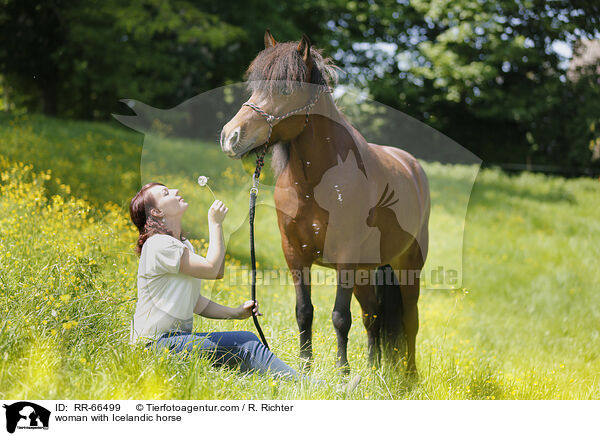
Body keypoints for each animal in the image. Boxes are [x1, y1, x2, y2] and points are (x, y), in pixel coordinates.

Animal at [219, 30, 426, 374]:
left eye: (286, 88)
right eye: (255, 85)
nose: (230, 137)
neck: (314, 186)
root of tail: (413, 166)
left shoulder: (345, 257)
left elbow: (340, 317)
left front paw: (342, 373)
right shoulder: (295, 255)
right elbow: (305, 311)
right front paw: (305, 367)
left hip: (407, 265)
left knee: (410, 320)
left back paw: (409, 376)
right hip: (367, 270)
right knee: (373, 316)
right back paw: (373, 371)